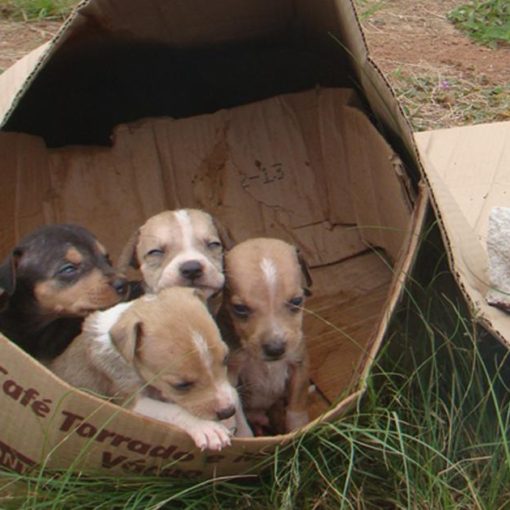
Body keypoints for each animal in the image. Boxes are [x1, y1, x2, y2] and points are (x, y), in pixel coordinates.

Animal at [48, 286, 252, 450]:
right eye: (181, 385)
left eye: (226, 359)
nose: (228, 411)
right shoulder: (130, 403)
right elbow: (171, 410)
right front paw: (208, 428)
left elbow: (232, 392)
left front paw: (240, 427)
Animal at [221, 238, 312, 434]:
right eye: (240, 309)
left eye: (296, 301)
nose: (275, 349)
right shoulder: (231, 376)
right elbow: (239, 420)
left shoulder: (299, 364)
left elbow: (296, 406)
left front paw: (299, 430)